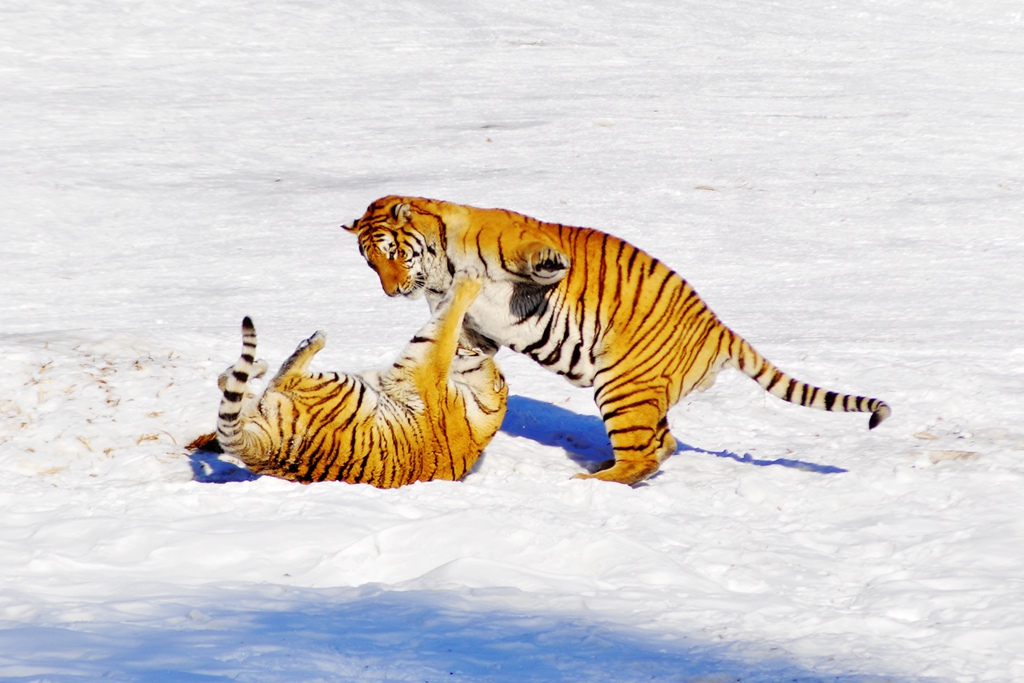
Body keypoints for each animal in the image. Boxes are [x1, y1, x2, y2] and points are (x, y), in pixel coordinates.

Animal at [212, 266, 507, 485]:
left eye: (470, 351)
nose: (466, 348)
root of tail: (269, 451)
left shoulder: (427, 368)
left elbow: (446, 325)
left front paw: (471, 279)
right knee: (240, 386)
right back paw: (256, 366)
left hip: (343, 389)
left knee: (282, 376)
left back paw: (313, 340)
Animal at [342, 194, 888, 489]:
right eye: (371, 262)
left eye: (393, 253)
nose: (391, 290)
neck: (439, 270)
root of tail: (718, 327)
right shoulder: (473, 328)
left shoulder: (505, 234)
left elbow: (526, 249)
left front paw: (550, 263)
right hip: (638, 392)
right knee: (659, 447)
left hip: (621, 386)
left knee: (646, 454)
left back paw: (589, 481)